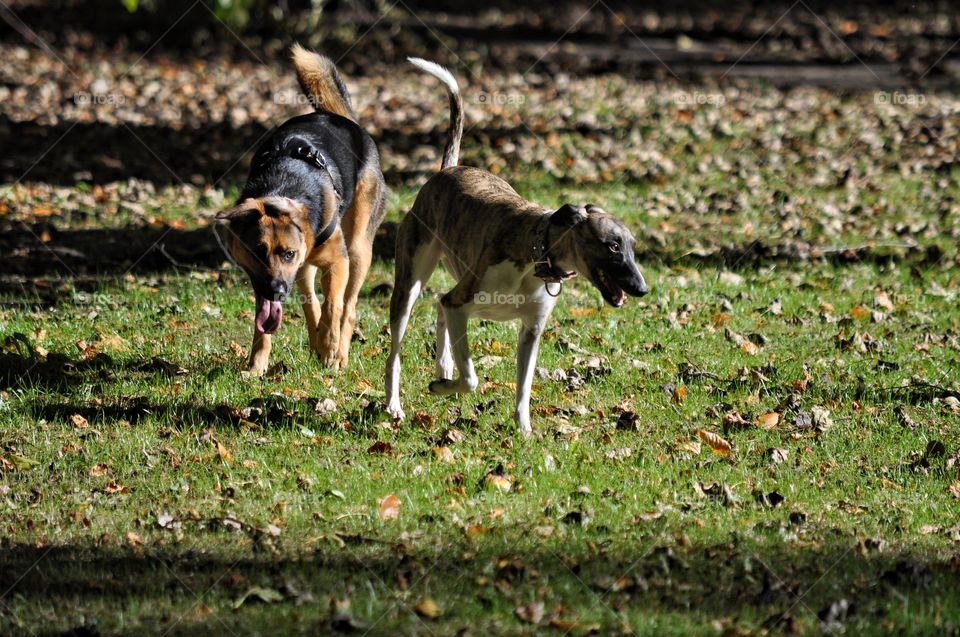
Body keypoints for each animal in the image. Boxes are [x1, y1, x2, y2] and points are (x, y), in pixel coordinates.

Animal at [216, 46, 384, 372]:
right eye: (257, 251)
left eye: (287, 253)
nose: (277, 291)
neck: (281, 188)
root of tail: (343, 119)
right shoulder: (264, 280)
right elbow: (265, 325)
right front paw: (256, 366)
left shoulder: (336, 262)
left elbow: (334, 305)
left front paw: (331, 349)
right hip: (304, 269)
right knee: (309, 298)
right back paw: (316, 340)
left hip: (358, 249)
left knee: (348, 305)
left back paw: (338, 351)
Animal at [386, 59, 648, 434]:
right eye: (612, 245)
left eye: (631, 246)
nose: (641, 289)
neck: (536, 253)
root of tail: (447, 170)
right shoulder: (462, 303)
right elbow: (472, 379)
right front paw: (442, 387)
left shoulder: (531, 330)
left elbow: (523, 387)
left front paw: (524, 431)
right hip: (410, 283)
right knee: (397, 347)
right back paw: (395, 404)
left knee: (438, 304)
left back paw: (443, 366)